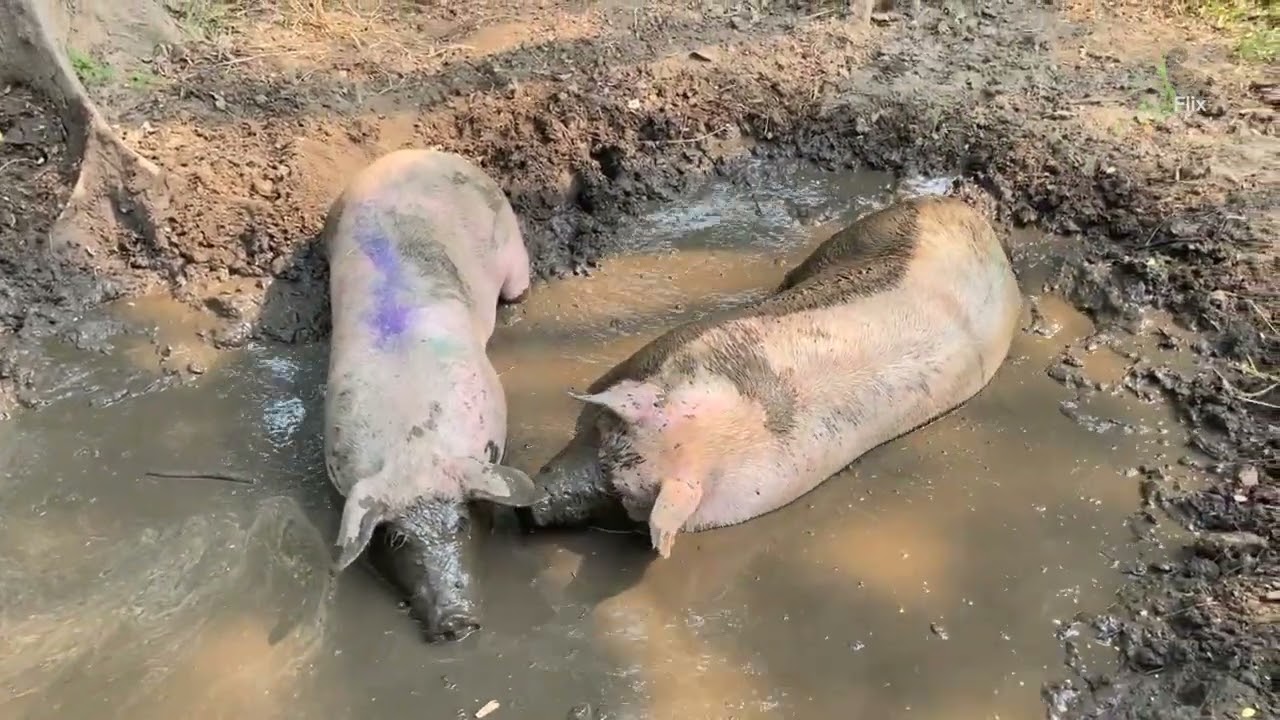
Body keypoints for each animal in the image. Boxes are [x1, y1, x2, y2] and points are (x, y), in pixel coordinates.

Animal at [323, 148, 545, 641]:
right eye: (397, 538)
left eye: (461, 523)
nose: (456, 621)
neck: (413, 443)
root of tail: (417, 152)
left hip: (512, 246)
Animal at [521, 195, 1022, 558]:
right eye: (603, 434)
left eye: (624, 500)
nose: (534, 509)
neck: (730, 429)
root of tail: (972, 213)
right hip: (860, 234)